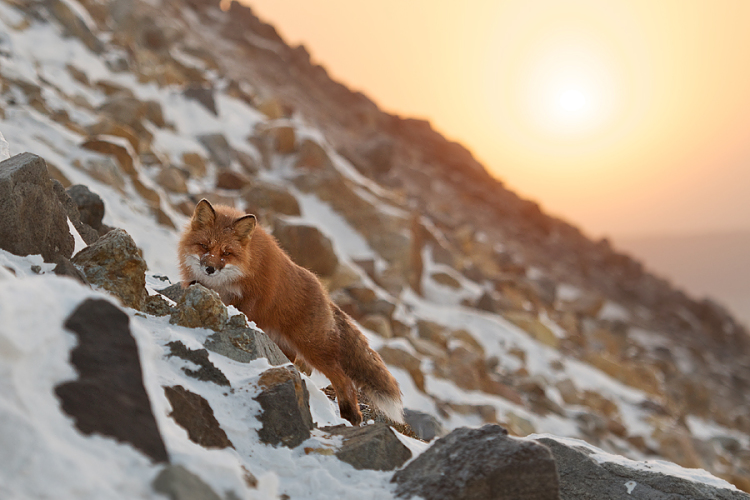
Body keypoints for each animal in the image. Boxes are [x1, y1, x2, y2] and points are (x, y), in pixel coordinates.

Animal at [178, 197, 406, 424]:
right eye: (204, 246)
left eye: (227, 253)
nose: (209, 269)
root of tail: (327, 297)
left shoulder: (252, 298)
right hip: (286, 346)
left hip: (314, 348)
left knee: (345, 381)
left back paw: (351, 416)